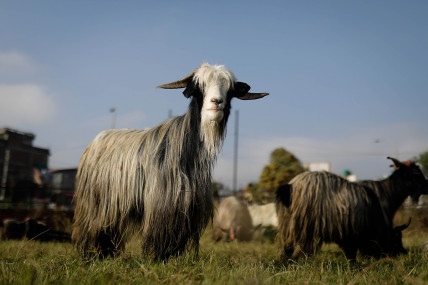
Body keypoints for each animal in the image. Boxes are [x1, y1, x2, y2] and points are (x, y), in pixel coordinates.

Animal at [72, 62, 270, 260]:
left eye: (229, 90)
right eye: (199, 87)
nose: (216, 102)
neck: (186, 151)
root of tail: (96, 140)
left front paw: (173, 256)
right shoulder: (162, 203)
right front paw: (159, 257)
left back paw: (107, 254)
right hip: (94, 204)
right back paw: (91, 254)